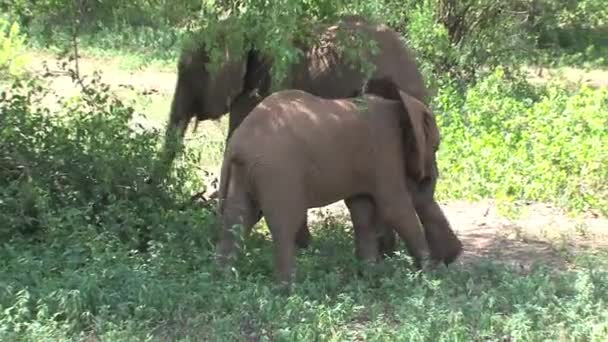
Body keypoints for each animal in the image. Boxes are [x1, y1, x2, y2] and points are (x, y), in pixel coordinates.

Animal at [217, 87, 446, 286]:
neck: (399, 107)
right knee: (283, 225)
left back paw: (225, 281)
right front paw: (430, 276)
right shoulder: (384, 150)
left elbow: (362, 211)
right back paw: (288, 289)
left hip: (245, 173)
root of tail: (236, 145)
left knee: (237, 220)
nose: (426, 178)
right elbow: (396, 210)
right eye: (436, 147)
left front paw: (369, 274)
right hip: (278, 172)